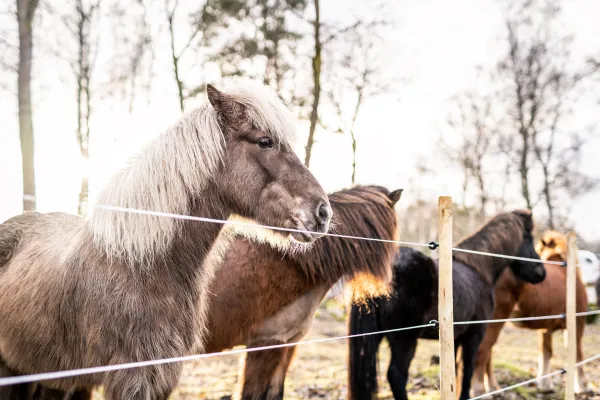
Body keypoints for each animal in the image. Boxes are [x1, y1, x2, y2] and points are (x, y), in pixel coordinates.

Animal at [472, 230, 588, 396]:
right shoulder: (578, 323)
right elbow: (577, 353)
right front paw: (583, 386)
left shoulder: (546, 328)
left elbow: (546, 352)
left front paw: (545, 385)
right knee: (483, 352)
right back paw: (480, 391)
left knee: (488, 353)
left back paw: (494, 388)